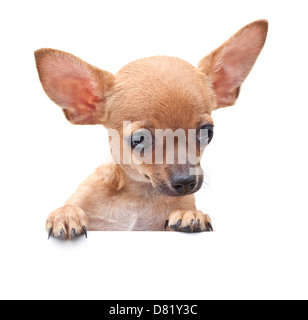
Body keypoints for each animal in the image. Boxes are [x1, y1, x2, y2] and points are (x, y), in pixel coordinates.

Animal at [35, 20, 268, 239]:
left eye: (207, 132)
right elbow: (72, 207)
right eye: (139, 139)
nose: (186, 181)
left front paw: (190, 215)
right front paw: (66, 214)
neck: (138, 197)